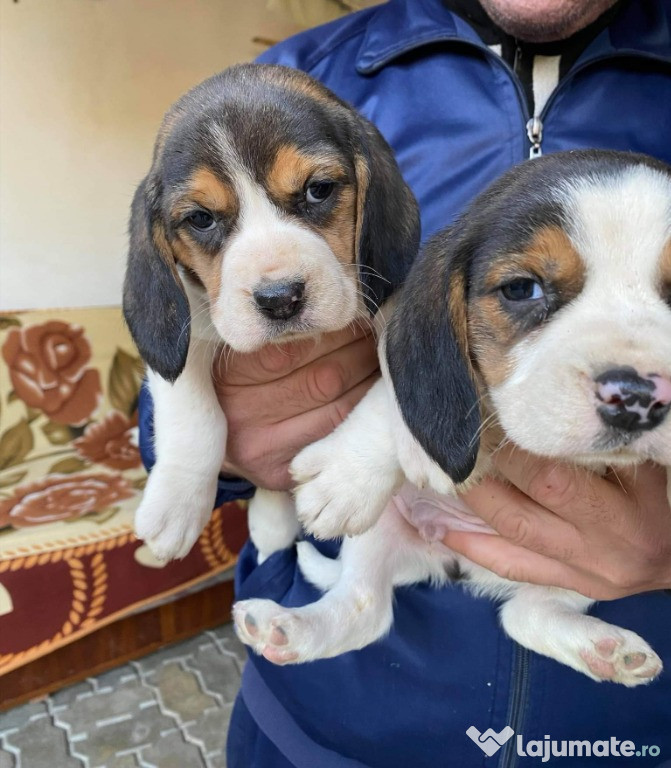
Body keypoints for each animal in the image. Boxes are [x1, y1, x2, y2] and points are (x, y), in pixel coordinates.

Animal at [124, 64, 420, 564]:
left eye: (318, 190)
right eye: (201, 218)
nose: (280, 298)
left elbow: (399, 388)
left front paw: (345, 478)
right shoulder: (193, 330)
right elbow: (195, 417)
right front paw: (176, 500)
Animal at [235, 148, 671, 684]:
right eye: (522, 289)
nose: (636, 398)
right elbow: (393, 388)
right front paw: (349, 473)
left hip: (586, 566)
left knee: (522, 615)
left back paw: (607, 651)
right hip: (382, 530)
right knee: (364, 606)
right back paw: (285, 628)